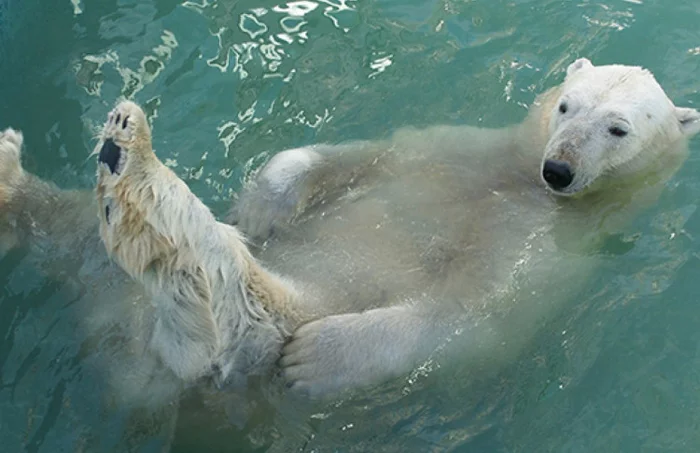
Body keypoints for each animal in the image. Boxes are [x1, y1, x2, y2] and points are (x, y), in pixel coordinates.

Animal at [85, 57, 696, 400]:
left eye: (618, 128)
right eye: (567, 106)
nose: (559, 168)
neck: (521, 182)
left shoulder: (551, 248)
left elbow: (475, 318)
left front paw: (315, 357)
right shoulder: (456, 151)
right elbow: (358, 156)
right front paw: (260, 208)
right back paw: (122, 153)